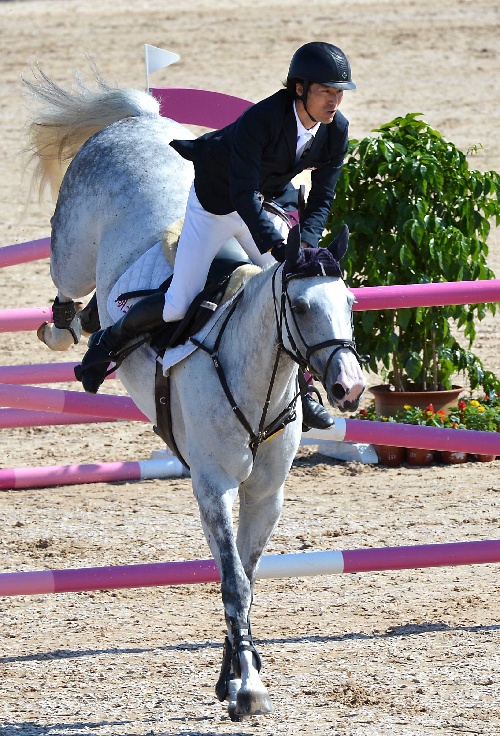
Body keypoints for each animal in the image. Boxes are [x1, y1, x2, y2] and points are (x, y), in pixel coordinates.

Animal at [23, 69, 366, 720]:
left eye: (351, 304)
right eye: (301, 306)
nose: (349, 388)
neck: (257, 378)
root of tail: (137, 122)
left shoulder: (264, 494)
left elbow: (247, 579)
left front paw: (232, 680)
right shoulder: (214, 484)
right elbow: (232, 580)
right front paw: (248, 687)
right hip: (76, 250)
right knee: (72, 291)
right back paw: (73, 337)